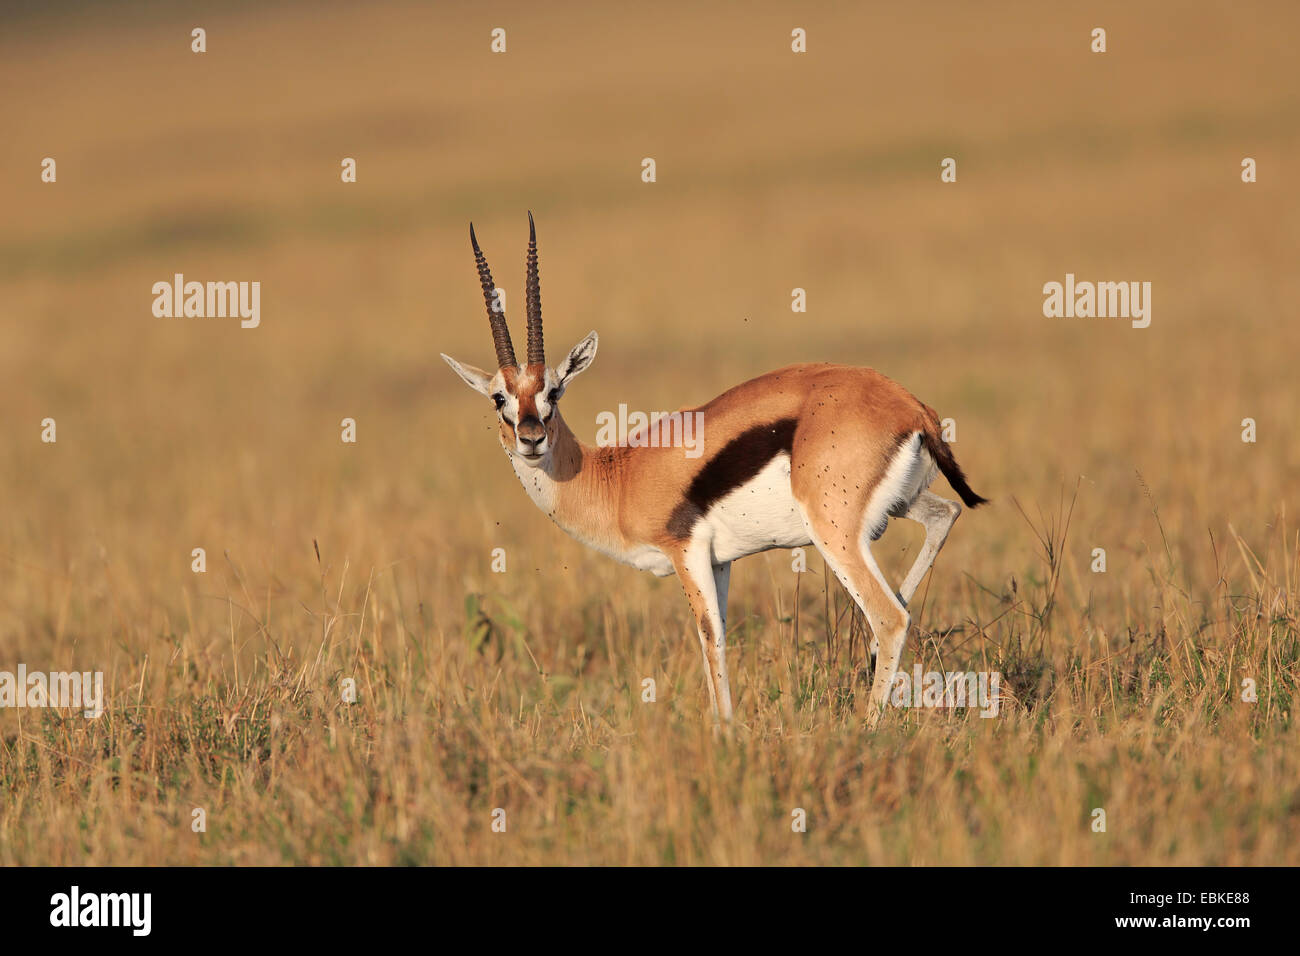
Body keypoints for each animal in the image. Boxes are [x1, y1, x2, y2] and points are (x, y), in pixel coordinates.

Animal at [442, 215, 987, 726]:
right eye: (499, 398)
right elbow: (720, 633)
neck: (616, 476)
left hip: (835, 530)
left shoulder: (685, 551)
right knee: (944, 517)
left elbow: (709, 634)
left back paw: (866, 725)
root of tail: (909, 406)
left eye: (554, 391)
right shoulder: (721, 560)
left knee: (889, 617)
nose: (531, 438)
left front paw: (726, 731)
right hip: (899, 504)